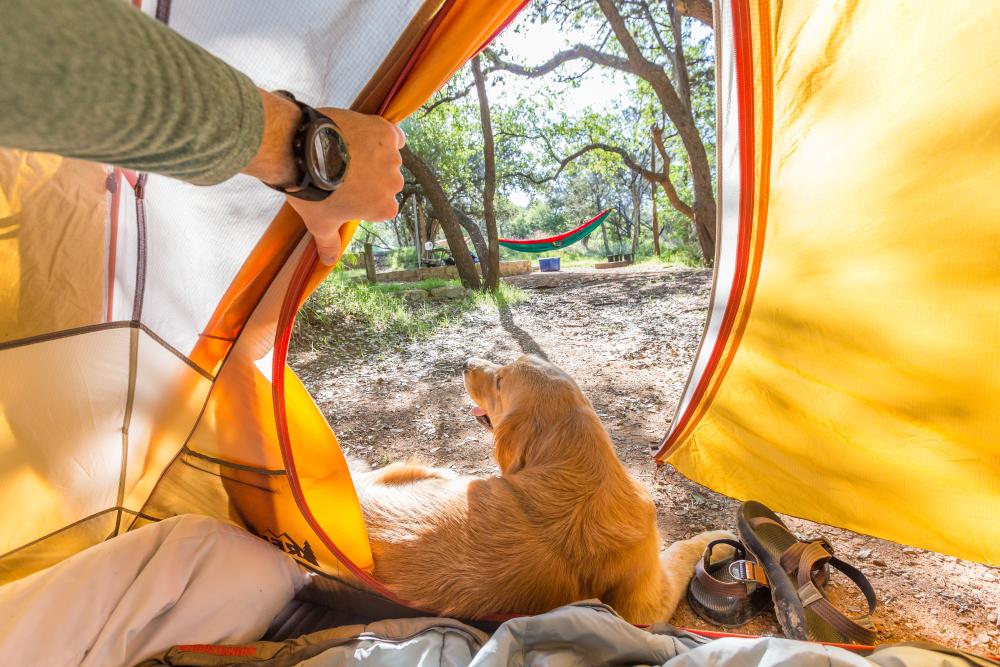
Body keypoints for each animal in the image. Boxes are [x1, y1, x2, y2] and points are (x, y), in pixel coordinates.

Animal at [356, 358, 732, 624]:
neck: (579, 473)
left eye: (499, 380)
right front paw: (720, 538)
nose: (464, 362)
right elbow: (685, 548)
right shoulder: (646, 605)